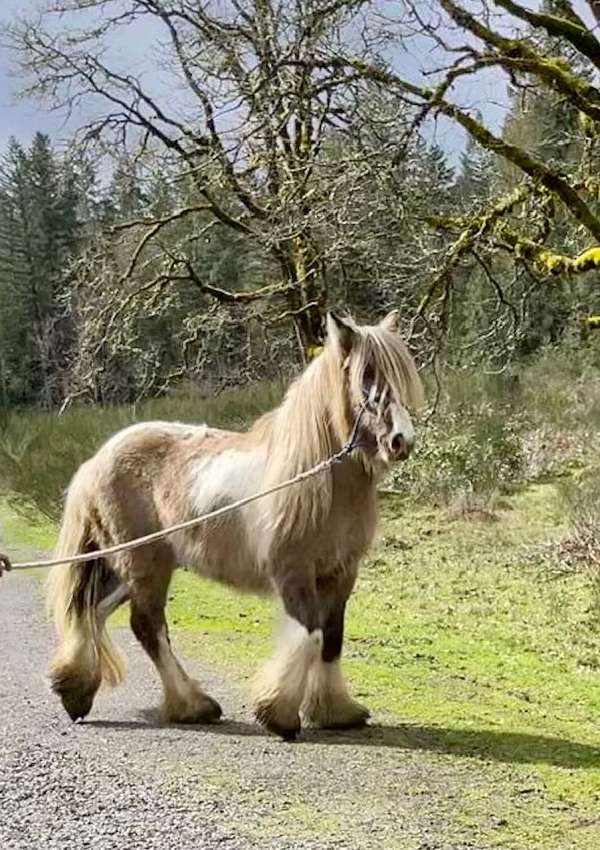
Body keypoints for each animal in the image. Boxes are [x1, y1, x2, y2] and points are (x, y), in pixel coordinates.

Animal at [48, 310, 422, 736]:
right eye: (366, 377)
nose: (402, 441)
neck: (318, 479)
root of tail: (98, 459)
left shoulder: (340, 574)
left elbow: (331, 638)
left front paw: (335, 711)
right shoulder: (293, 573)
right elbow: (309, 635)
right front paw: (278, 714)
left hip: (128, 568)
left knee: (93, 611)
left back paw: (77, 692)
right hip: (143, 566)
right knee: (147, 627)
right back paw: (193, 706)